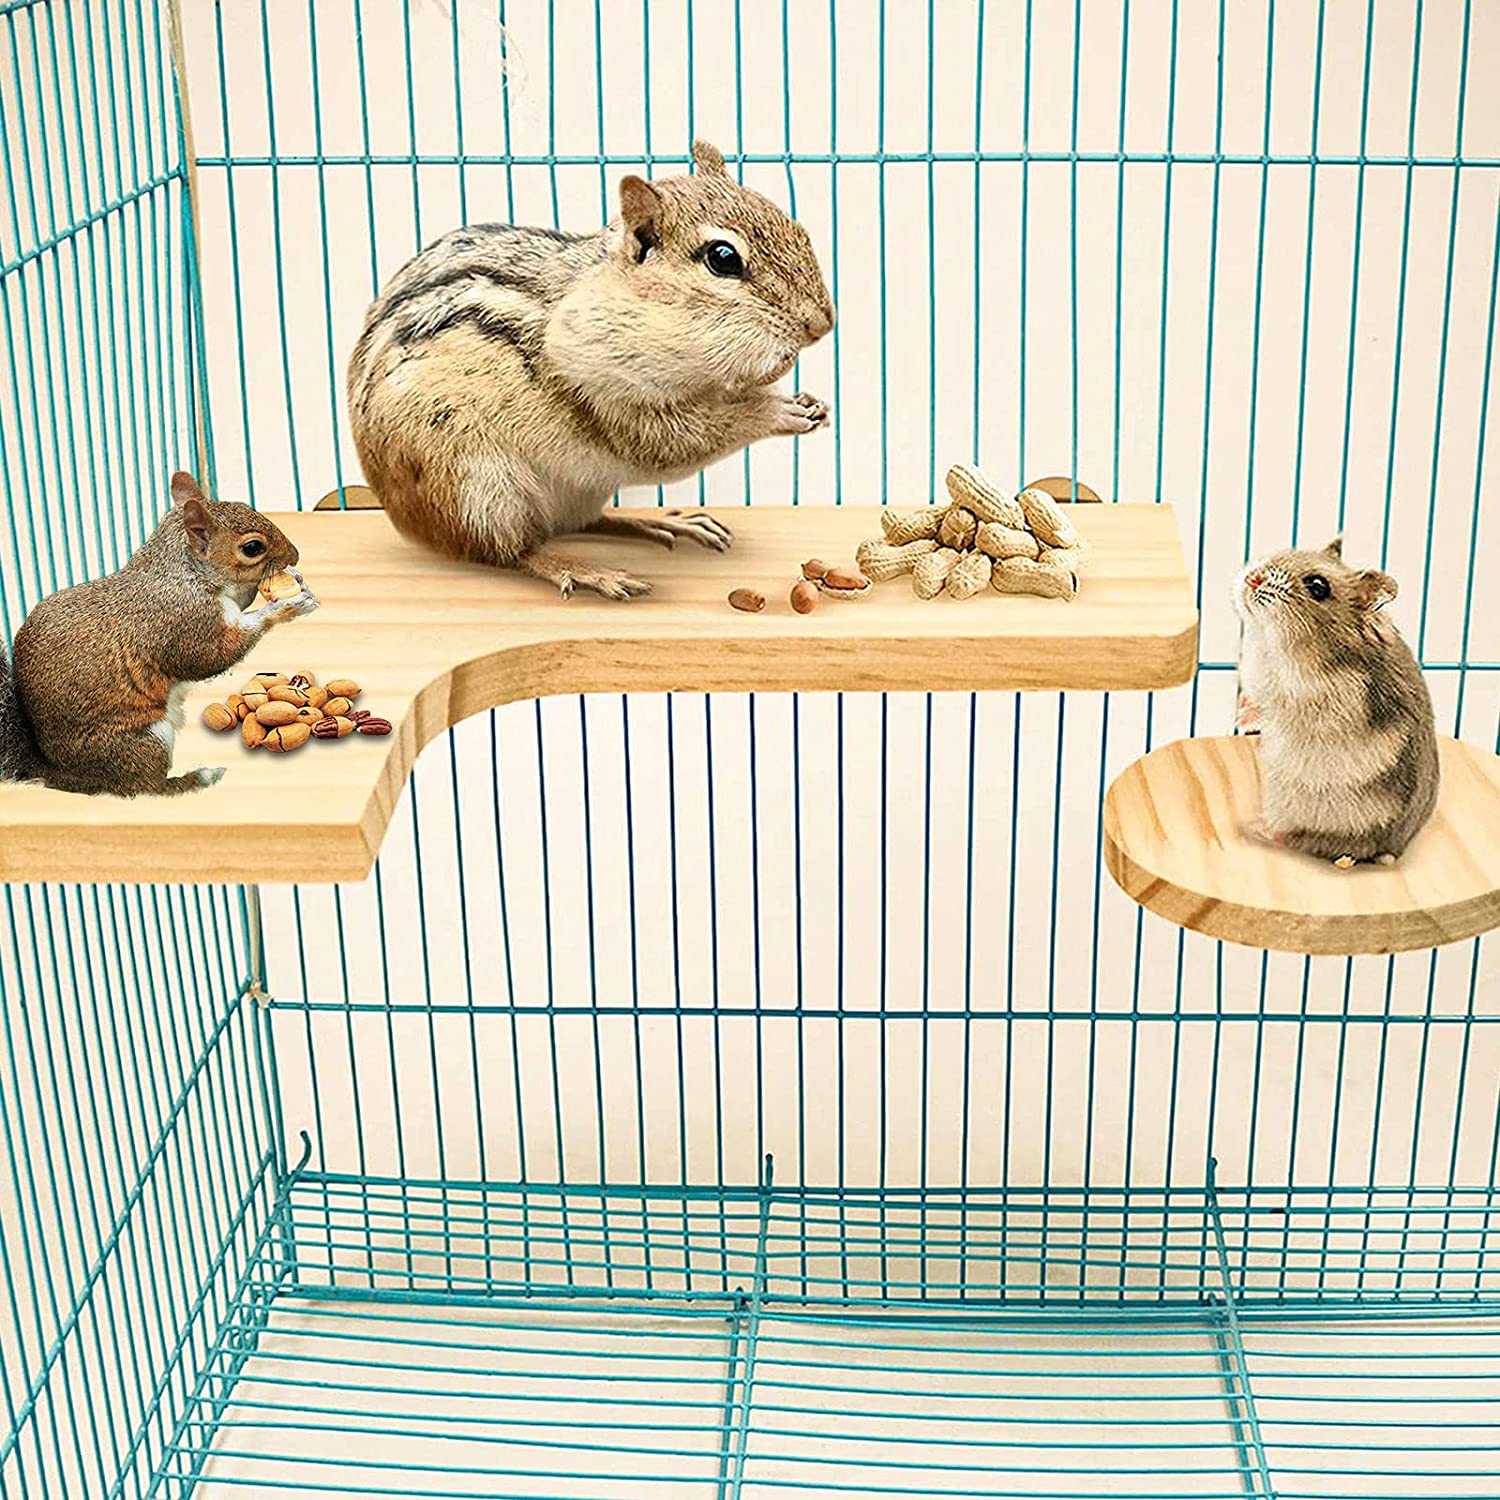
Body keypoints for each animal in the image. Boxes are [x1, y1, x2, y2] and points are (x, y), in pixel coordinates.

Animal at [0, 472, 317, 797]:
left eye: (245, 504)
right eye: (253, 547)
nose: (295, 555)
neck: (185, 574)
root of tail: (59, 775)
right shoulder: (184, 623)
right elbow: (214, 656)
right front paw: (285, 606)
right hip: (143, 743)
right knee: (147, 787)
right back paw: (202, 777)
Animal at [347, 139, 835, 600]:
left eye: (798, 228)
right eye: (723, 258)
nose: (822, 324)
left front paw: (807, 399)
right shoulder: (608, 397)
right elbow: (680, 438)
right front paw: (779, 412)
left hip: (572, 491)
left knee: (585, 522)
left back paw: (661, 523)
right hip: (480, 489)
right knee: (511, 550)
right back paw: (586, 570)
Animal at [1233, 536, 1439, 865]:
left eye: (1318, 586)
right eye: (1290, 552)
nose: (1252, 578)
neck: (1271, 641)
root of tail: (1393, 849)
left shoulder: (1312, 702)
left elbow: (1274, 709)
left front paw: (1244, 720)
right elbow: (1253, 699)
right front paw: (1239, 715)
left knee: (1310, 841)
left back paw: (1260, 829)